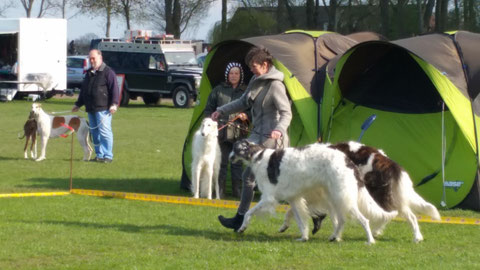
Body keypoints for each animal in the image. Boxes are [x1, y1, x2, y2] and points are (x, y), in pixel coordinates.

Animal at [230, 140, 398, 244]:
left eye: (235, 149)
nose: (230, 158)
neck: (258, 156)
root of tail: (348, 160)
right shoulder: (294, 199)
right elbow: (300, 221)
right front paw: (303, 237)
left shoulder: (268, 198)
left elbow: (248, 212)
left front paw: (242, 227)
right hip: (336, 198)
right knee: (341, 220)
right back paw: (334, 237)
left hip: (342, 197)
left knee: (364, 220)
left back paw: (370, 241)